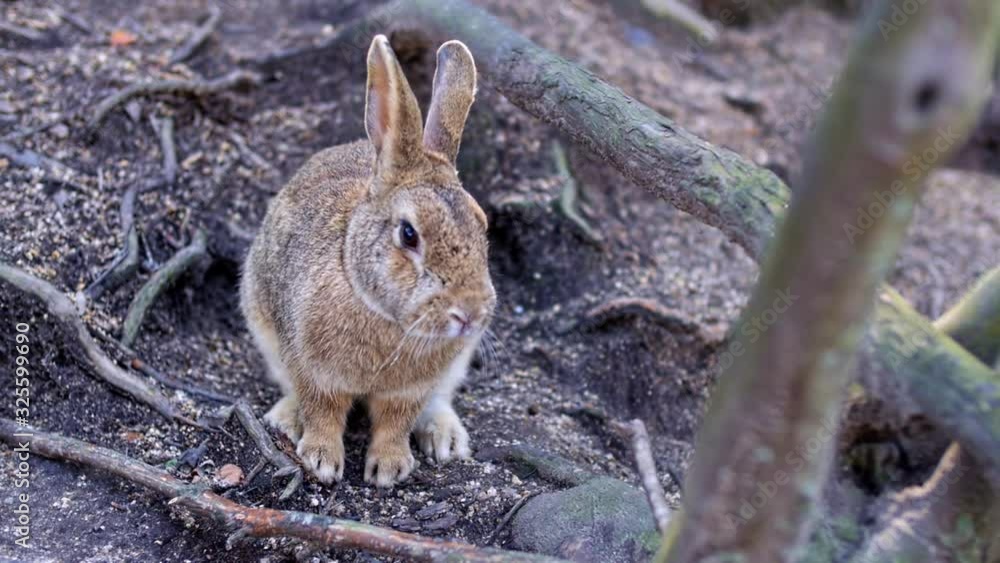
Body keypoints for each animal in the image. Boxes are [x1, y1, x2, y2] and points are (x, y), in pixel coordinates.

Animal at [240, 35, 495, 488]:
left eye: (483, 224)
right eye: (409, 234)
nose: (470, 314)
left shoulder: (408, 391)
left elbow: (395, 424)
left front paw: (389, 469)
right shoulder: (313, 371)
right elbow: (322, 412)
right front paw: (321, 461)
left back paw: (445, 438)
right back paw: (285, 420)